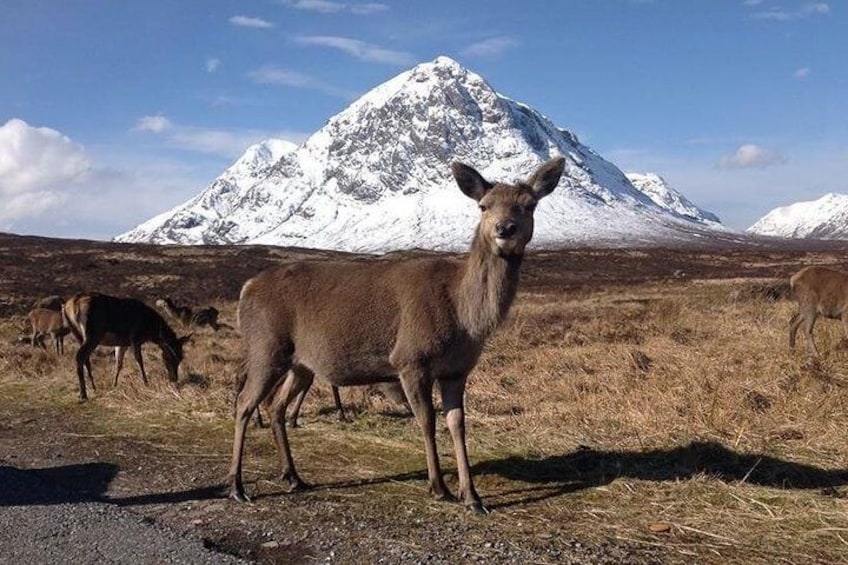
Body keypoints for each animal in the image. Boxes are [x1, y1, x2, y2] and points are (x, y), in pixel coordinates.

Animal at [63, 290, 191, 400]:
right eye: (170, 357)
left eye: (181, 358)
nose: (174, 379)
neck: (150, 330)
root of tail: (71, 305)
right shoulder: (135, 336)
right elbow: (139, 360)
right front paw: (146, 383)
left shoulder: (122, 343)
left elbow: (118, 364)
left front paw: (114, 385)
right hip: (93, 332)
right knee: (80, 356)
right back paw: (83, 394)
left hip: (78, 334)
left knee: (86, 359)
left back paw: (93, 387)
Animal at [229, 155, 568, 512]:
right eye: (484, 206)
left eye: (529, 205)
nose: (505, 229)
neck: (465, 319)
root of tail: (246, 288)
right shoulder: (410, 359)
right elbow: (427, 421)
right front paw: (439, 487)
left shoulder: (457, 370)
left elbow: (457, 423)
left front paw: (472, 496)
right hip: (265, 345)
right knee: (244, 403)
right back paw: (237, 485)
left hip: (300, 363)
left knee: (275, 406)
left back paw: (293, 476)